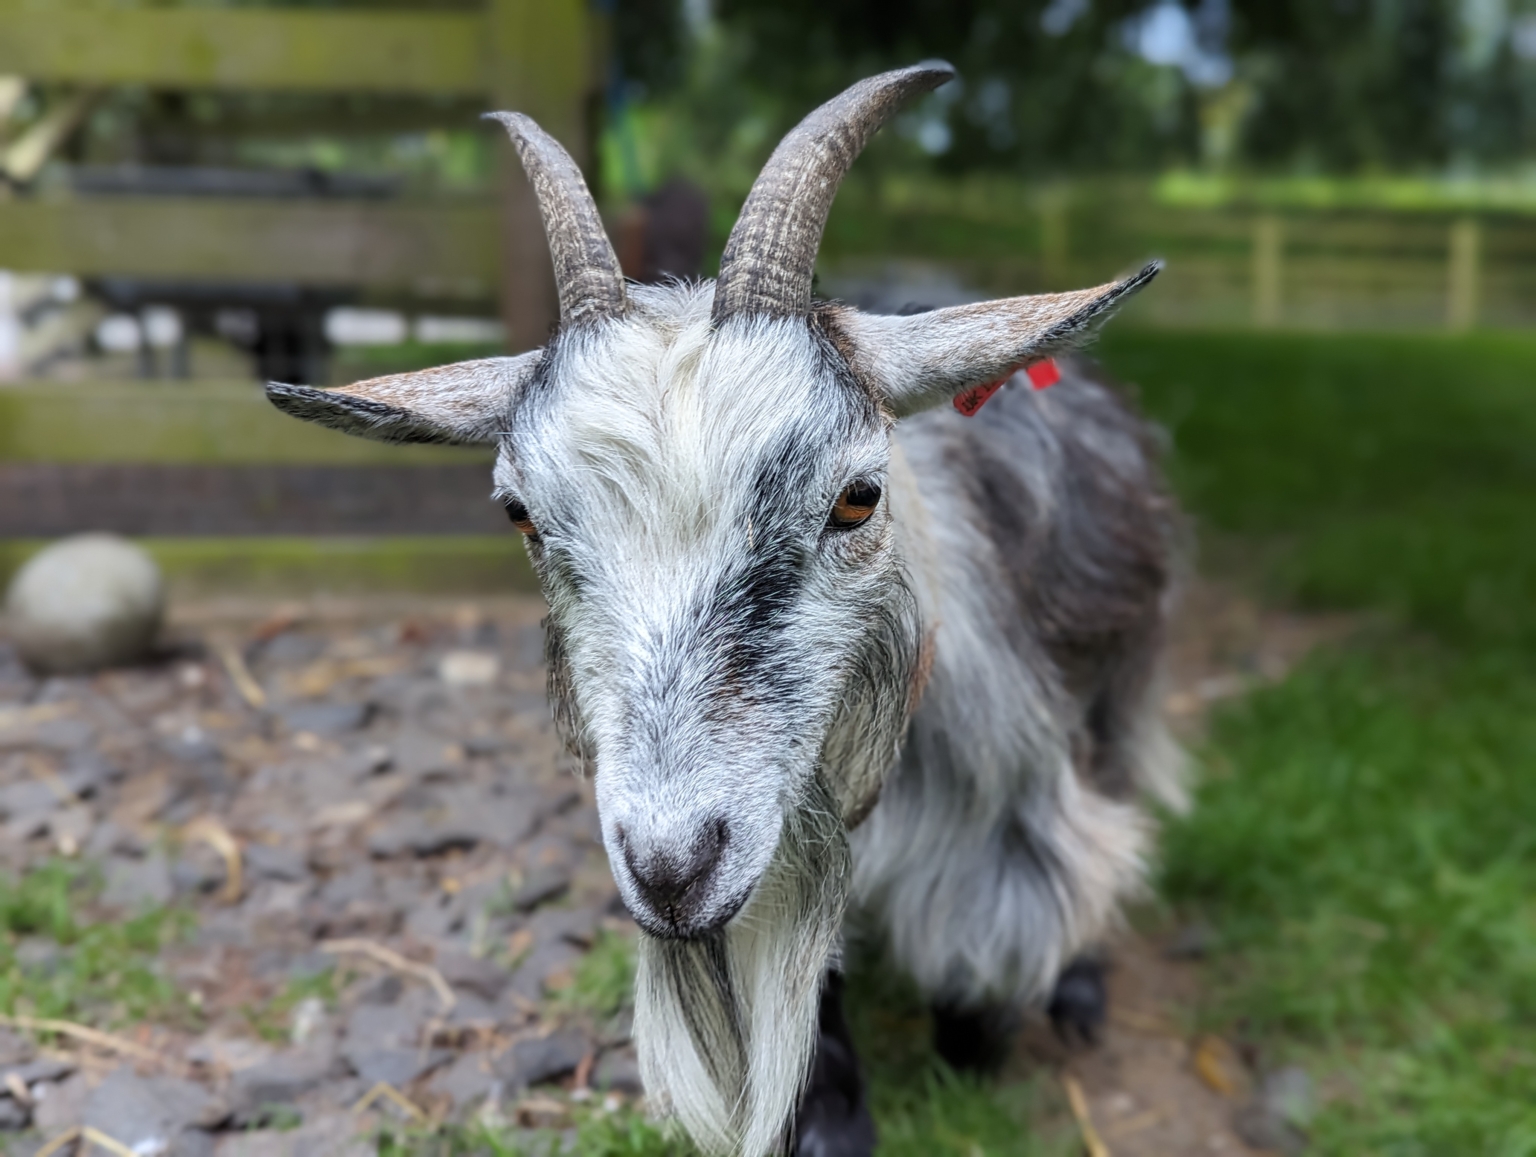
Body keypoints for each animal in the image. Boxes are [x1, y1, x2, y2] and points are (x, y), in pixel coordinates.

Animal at [267, 63, 1183, 1157]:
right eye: (522, 514)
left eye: (857, 497)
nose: (671, 867)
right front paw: (831, 1116)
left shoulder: (995, 820)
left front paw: (983, 1035)